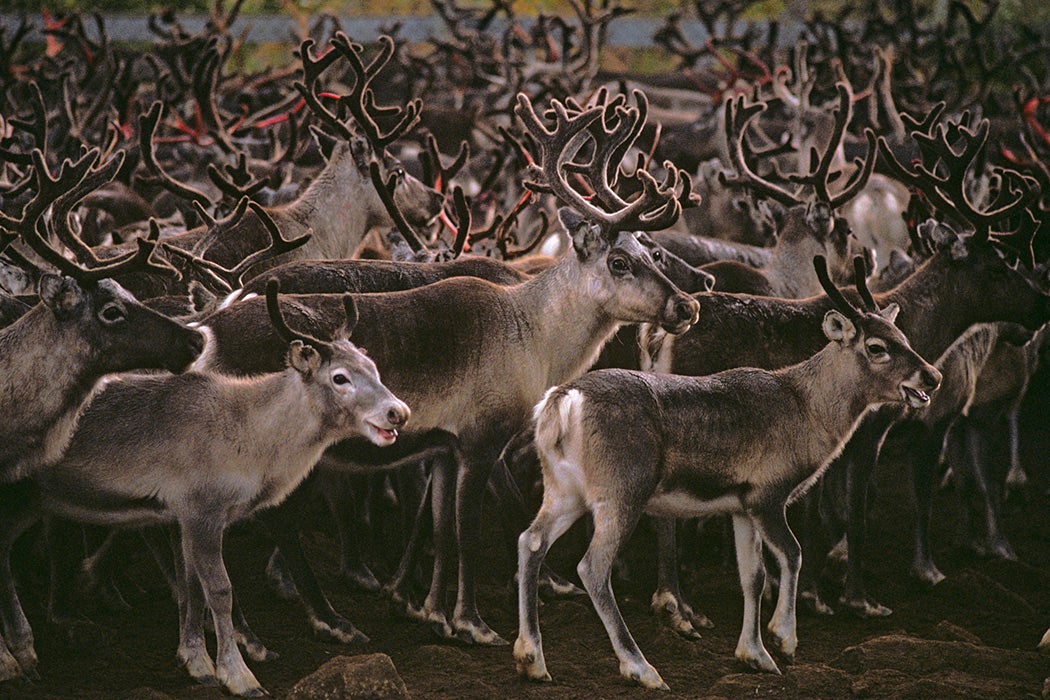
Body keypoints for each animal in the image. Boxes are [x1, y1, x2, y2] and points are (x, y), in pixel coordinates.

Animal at [0, 280, 409, 696]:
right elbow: (220, 590)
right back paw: (16, 656)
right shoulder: (202, 510)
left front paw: (196, 661)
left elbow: (190, 586)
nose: (399, 412)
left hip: (31, 501)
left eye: (374, 368)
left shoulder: (180, 513)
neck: (253, 439)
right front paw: (239, 674)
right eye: (340, 377)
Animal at [192, 88, 700, 646]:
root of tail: (207, 330)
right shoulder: (481, 439)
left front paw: (431, 613)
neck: (536, 337)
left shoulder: (442, 447)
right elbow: (468, 533)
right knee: (254, 526)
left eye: (650, 251)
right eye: (620, 262)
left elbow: (440, 530)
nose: (687, 306)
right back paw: (313, 623)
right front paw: (472, 622)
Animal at [514, 255, 941, 690]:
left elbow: (752, 576)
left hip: (565, 489)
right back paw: (641, 667)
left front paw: (753, 654)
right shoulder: (767, 492)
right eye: (876, 346)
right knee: (592, 567)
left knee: (530, 540)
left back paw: (532, 659)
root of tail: (561, 402)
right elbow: (792, 554)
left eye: (903, 335)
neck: (807, 413)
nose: (932, 376)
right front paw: (783, 639)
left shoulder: (739, 504)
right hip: (623, 489)